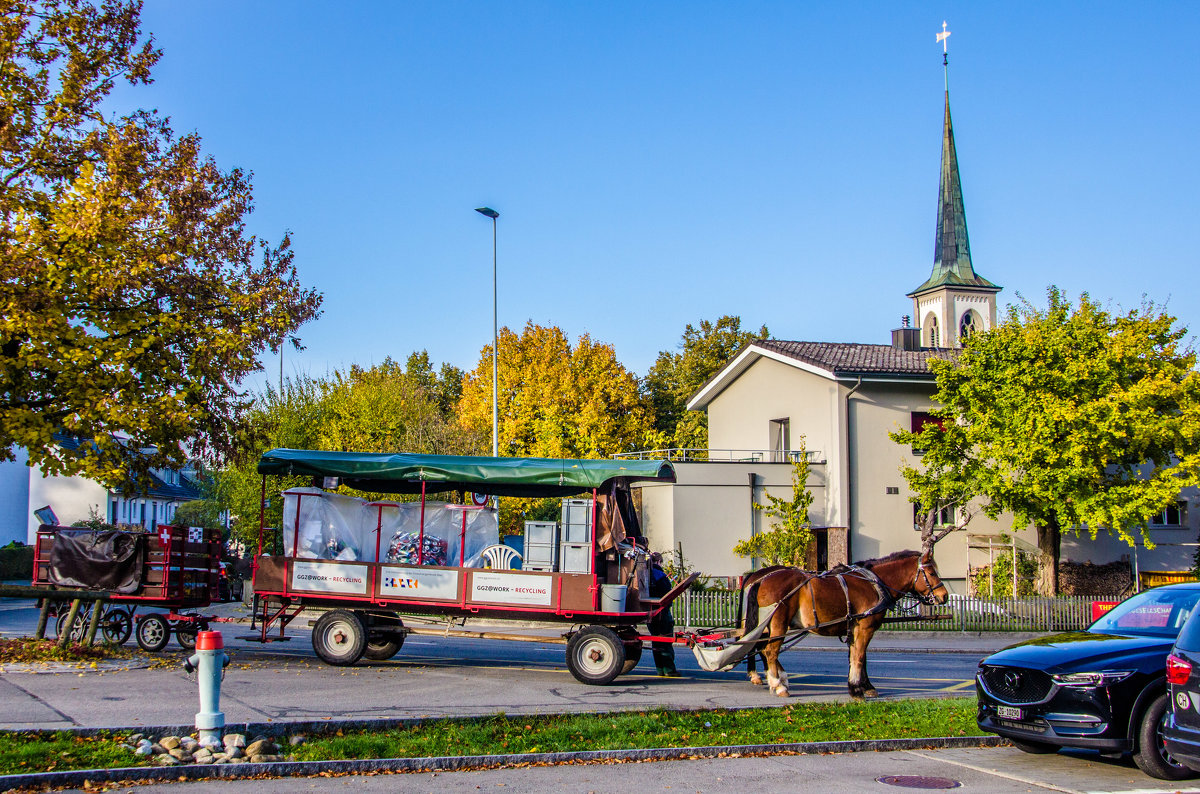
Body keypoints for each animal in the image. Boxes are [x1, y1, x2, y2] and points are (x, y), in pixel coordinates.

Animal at [739, 551, 945, 700]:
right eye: (932, 573)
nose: (943, 595)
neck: (874, 584)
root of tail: (760, 579)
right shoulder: (865, 627)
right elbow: (860, 657)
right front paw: (858, 690)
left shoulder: (853, 628)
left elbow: (855, 656)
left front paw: (860, 686)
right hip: (778, 624)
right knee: (770, 651)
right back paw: (778, 684)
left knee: (762, 648)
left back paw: (776, 678)